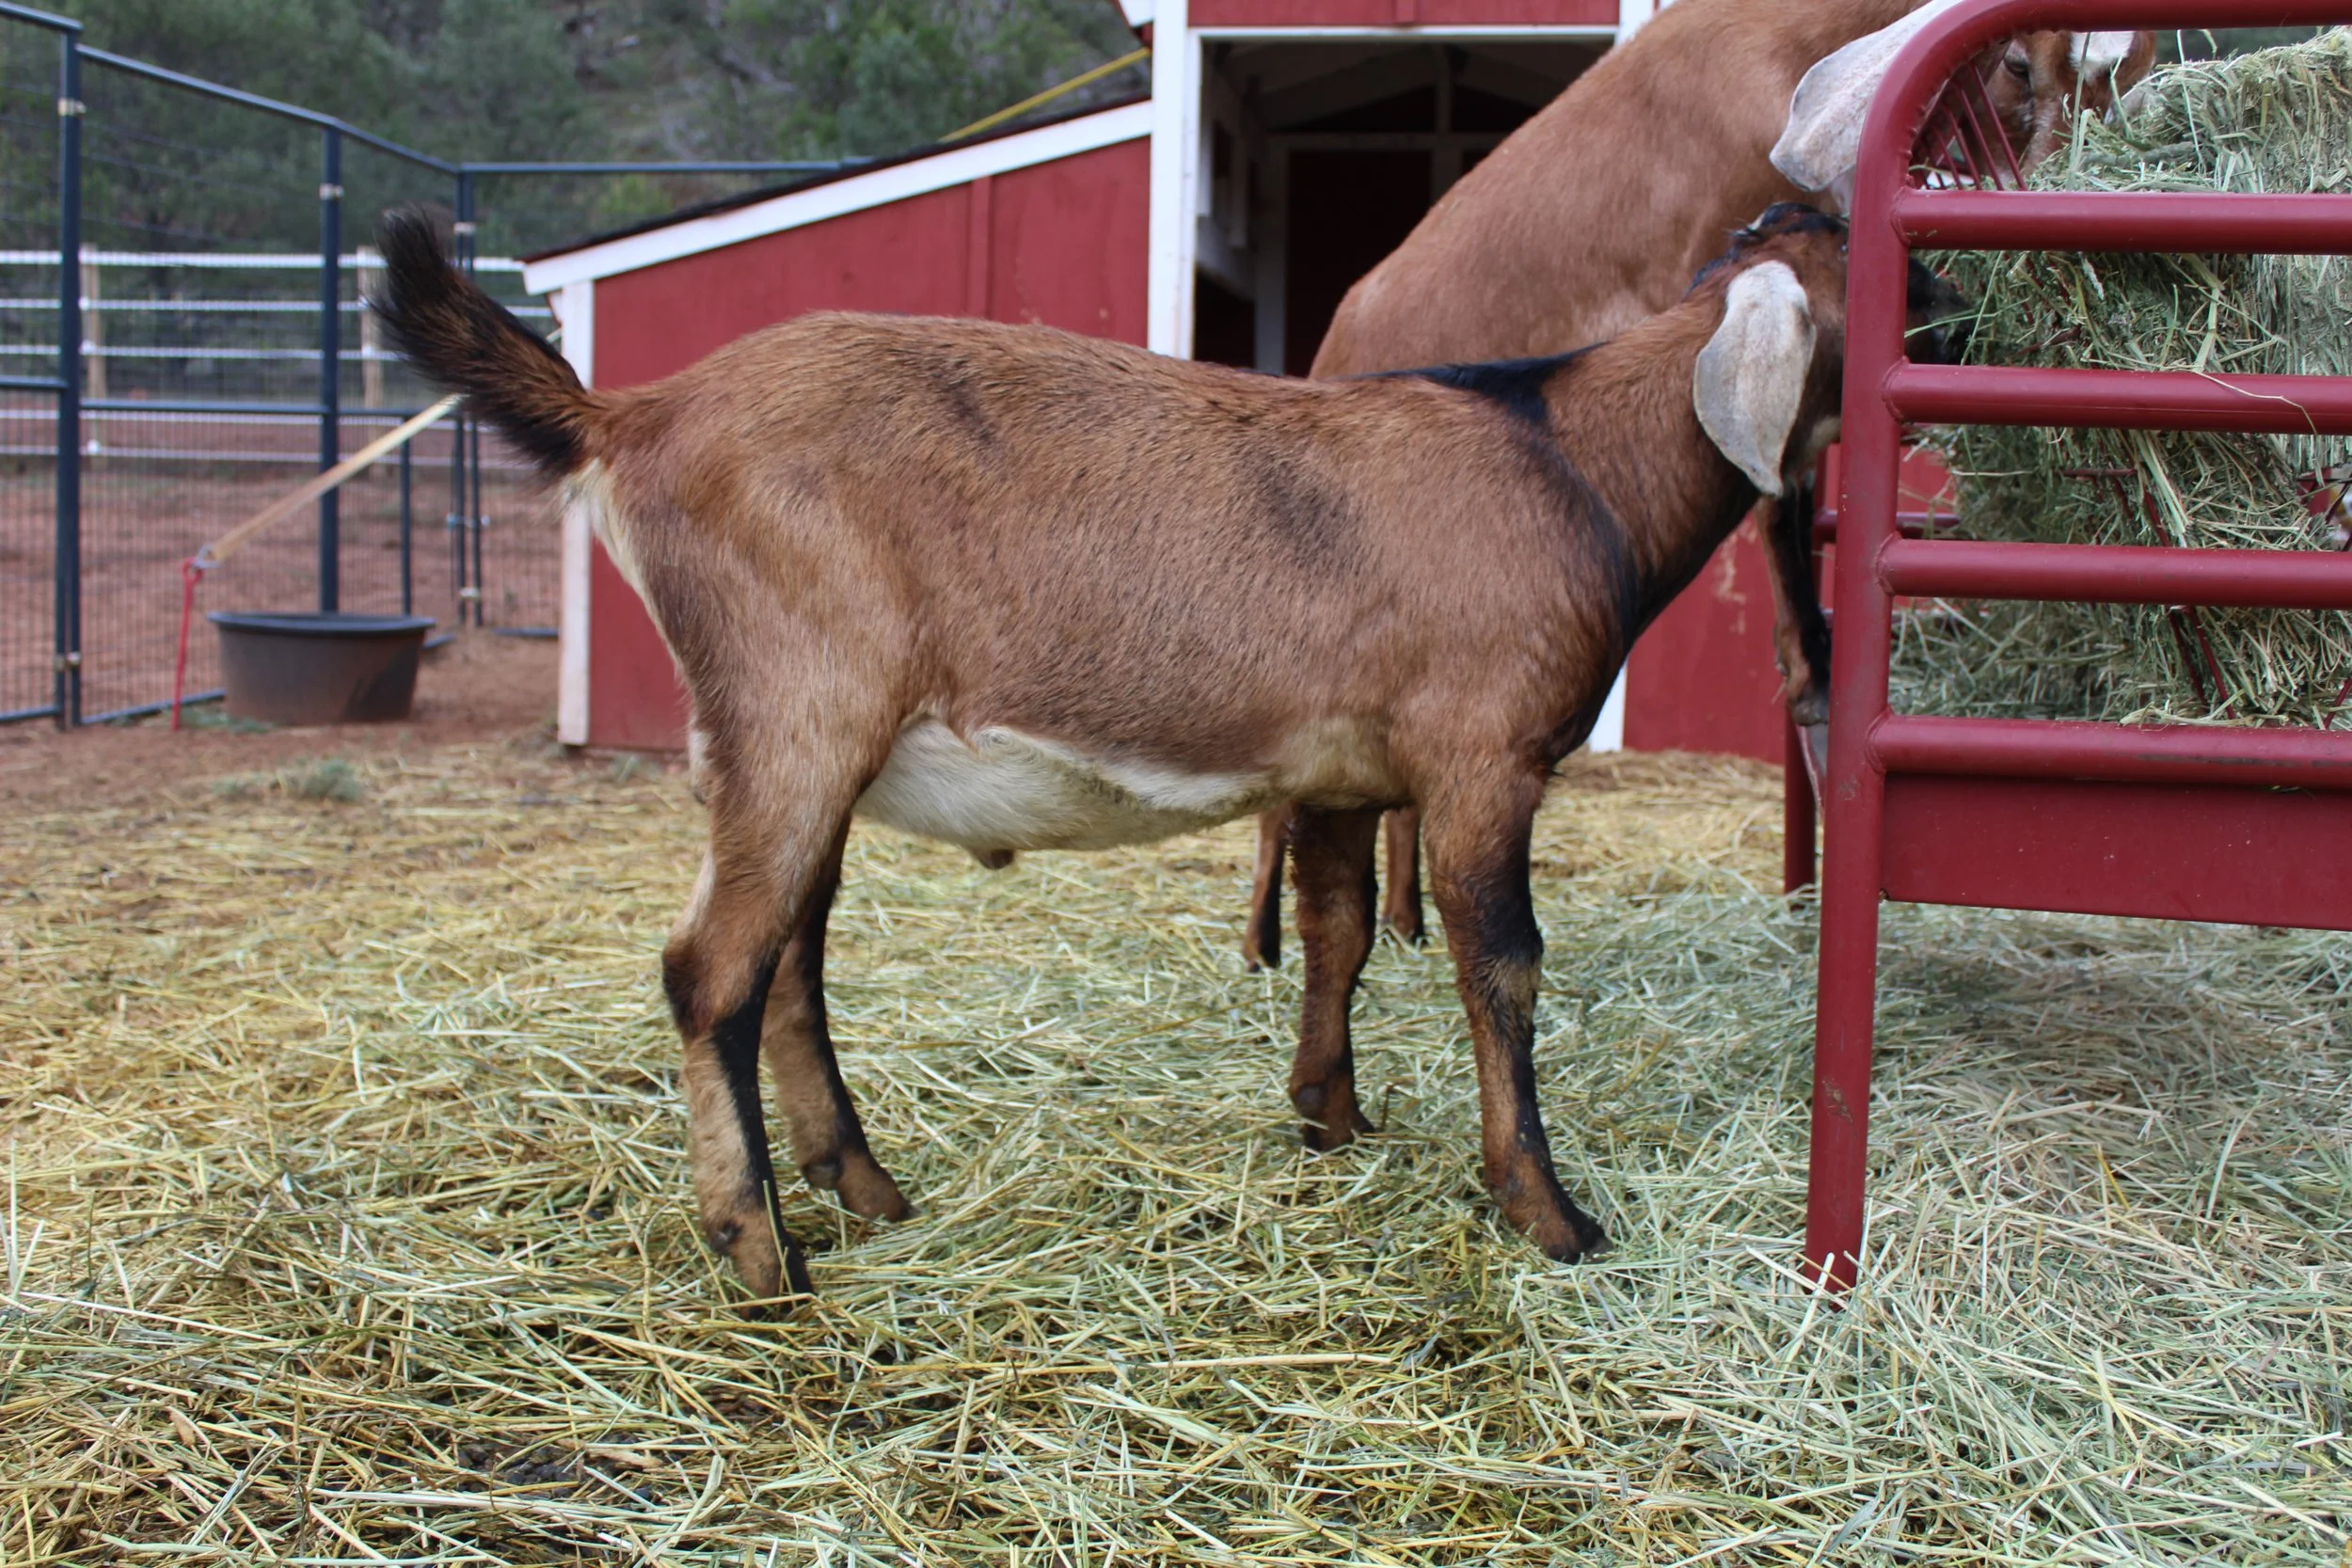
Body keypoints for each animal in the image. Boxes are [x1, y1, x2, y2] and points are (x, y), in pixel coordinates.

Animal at [373, 202, 1954, 1301]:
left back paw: (863, 1185)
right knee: (711, 968)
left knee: (787, 962)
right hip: (794, 707)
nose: (1948, 302)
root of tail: (634, 413)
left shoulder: (1340, 774)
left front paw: (1333, 1114)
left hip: (795, 749)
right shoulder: (1484, 760)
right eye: (1863, 266)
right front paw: (1548, 1210)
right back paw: (761, 1249)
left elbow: (1335, 927)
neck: (1570, 459)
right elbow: (1500, 962)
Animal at [1241, 0, 2154, 969]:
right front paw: (1815, 670)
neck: (1773, 43)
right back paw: (1262, 944)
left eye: (2138, 70)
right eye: (2017, 64)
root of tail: (1337, 333)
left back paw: (1406, 925)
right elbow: (1778, 493)